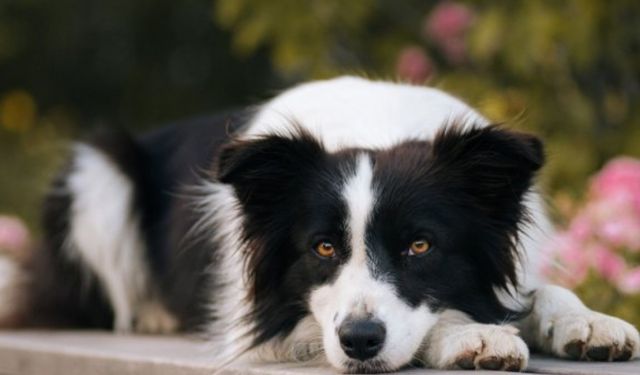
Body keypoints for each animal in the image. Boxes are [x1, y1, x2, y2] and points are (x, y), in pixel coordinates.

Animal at [1, 76, 640, 374]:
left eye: (421, 245)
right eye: (324, 248)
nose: (359, 341)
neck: (377, 127)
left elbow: (542, 292)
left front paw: (588, 322)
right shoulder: (272, 322)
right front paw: (470, 334)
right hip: (97, 176)